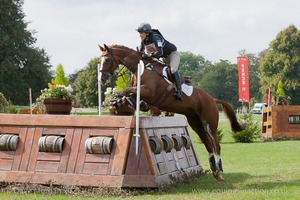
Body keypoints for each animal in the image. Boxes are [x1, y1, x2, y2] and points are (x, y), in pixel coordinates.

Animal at [98, 44, 244, 181]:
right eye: (100, 60)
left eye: (107, 59)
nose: (102, 79)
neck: (141, 68)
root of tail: (212, 99)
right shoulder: (141, 92)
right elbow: (128, 93)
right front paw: (120, 102)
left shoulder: (149, 91)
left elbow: (126, 90)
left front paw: (122, 101)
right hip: (195, 123)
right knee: (208, 144)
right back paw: (214, 169)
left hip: (209, 124)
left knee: (216, 145)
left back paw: (219, 171)